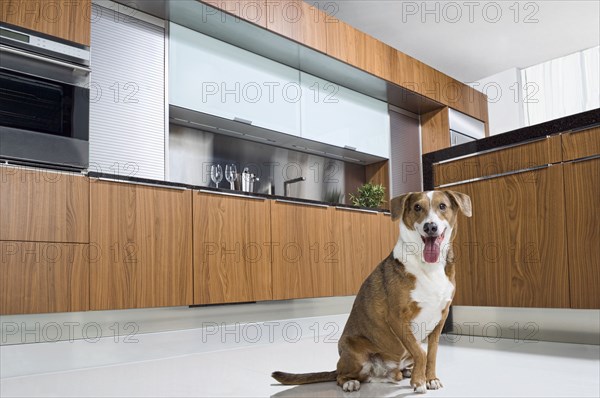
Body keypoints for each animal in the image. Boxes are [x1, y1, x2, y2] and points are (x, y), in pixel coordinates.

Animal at [272, 191, 474, 394]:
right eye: (417, 207)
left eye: (442, 206)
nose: (430, 227)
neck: (429, 267)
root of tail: (384, 372)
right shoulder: (397, 317)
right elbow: (421, 352)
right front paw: (419, 381)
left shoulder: (441, 316)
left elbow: (431, 353)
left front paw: (430, 378)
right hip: (354, 351)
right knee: (340, 376)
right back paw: (350, 382)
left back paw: (406, 372)